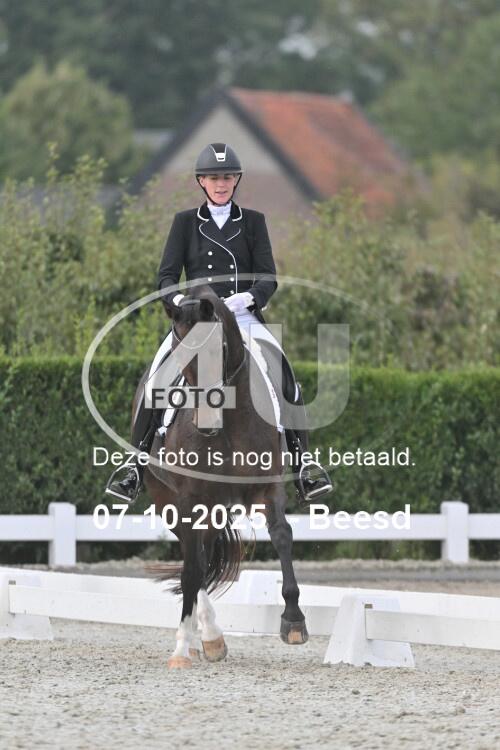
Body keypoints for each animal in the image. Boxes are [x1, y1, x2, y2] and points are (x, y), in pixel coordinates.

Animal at [138, 285, 308, 669]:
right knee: (195, 558)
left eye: (220, 350)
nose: (206, 422)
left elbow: (282, 535)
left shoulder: (268, 486)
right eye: (179, 354)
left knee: (203, 552)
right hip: (168, 500)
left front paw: (293, 620)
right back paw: (209, 635)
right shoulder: (188, 498)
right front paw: (181, 648)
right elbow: (191, 568)